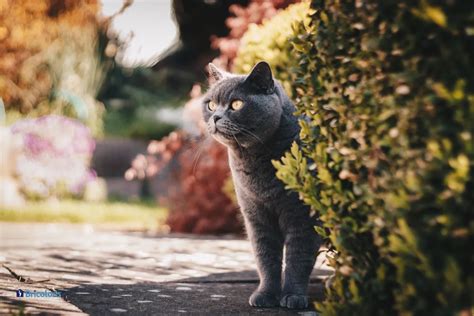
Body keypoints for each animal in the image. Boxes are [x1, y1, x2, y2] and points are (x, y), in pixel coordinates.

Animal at [202, 61, 320, 308]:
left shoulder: (303, 216)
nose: (215, 116)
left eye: (237, 104)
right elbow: (266, 258)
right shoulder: (256, 216)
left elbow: (298, 258)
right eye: (211, 104)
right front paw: (265, 295)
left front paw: (293, 297)